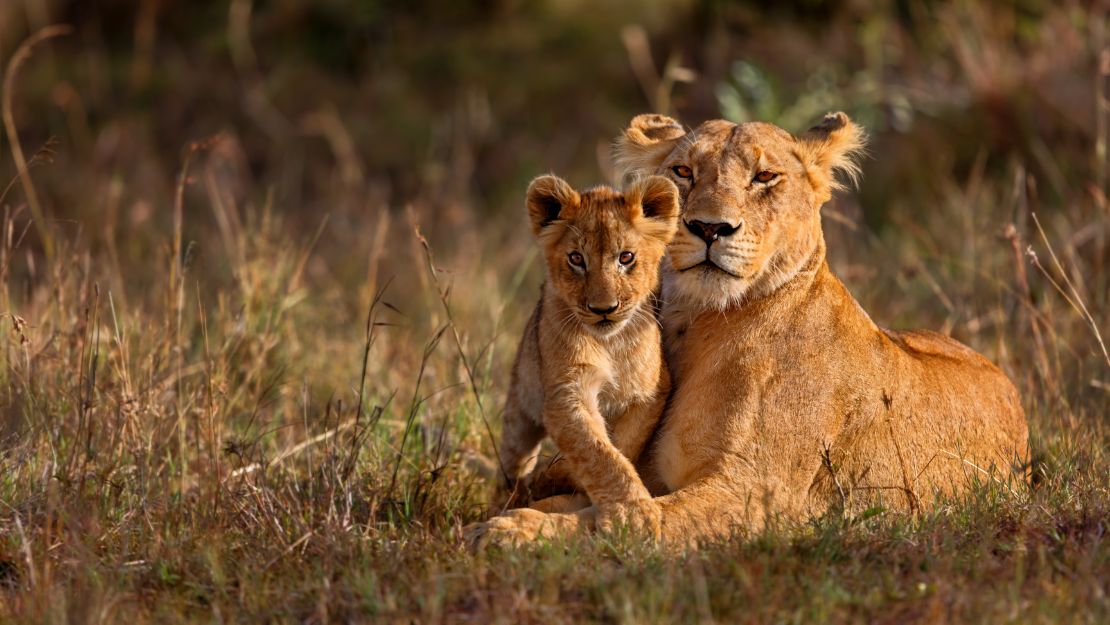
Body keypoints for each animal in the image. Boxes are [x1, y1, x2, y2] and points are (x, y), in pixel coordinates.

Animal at [480, 174, 680, 540]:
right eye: (576, 259)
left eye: (626, 257)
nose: (604, 309)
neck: (610, 344)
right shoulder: (566, 392)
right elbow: (596, 451)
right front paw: (633, 514)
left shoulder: (649, 393)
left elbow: (621, 447)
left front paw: (563, 478)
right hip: (520, 410)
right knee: (512, 463)